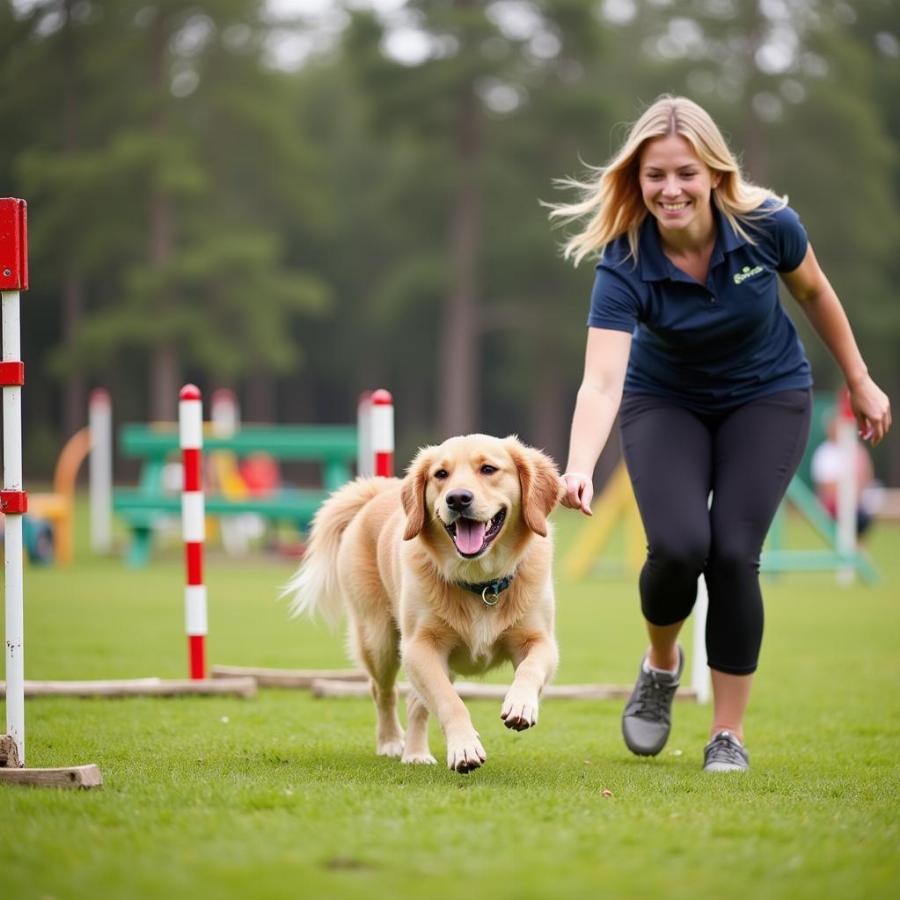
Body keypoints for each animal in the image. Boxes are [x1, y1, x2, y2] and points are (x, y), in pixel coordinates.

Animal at [284, 436, 560, 772]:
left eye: (488, 469)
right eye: (441, 474)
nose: (458, 499)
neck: (480, 583)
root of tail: (377, 491)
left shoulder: (540, 640)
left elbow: (530, 669)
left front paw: (520, 704)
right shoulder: (420, 647)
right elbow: (449, 702)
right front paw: (464, 747)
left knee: (416, 703)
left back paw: (415, 752)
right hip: (380, 641)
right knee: (385, 692)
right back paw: (395, 744)